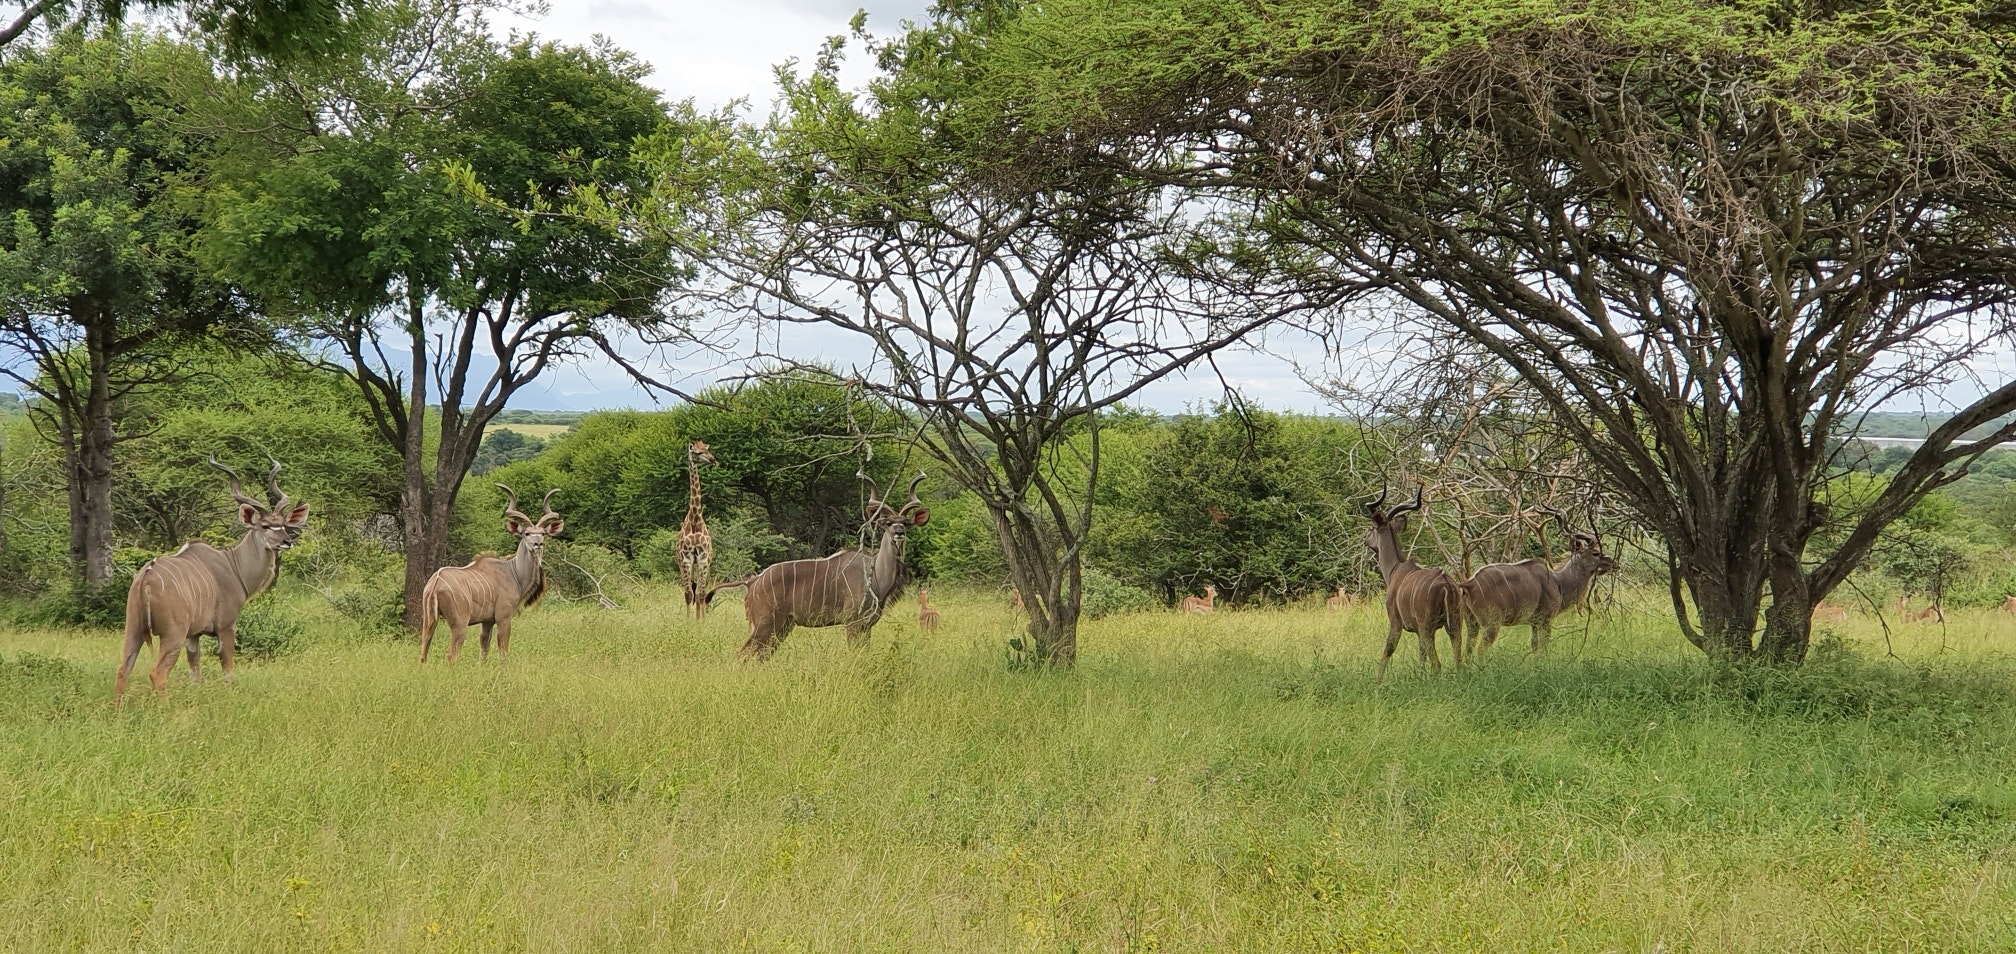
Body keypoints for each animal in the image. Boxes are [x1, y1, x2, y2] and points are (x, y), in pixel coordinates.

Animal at [116, 456, 309, 699]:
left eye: (283, 524)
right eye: (265, 526)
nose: (287, 541)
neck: (233, 564)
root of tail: (146, 579)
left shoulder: (193, 636)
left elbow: (195, 672)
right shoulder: (226, 627)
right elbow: (227, 670)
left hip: (133, 629)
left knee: (123, 669)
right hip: (172, 635)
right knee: (157, 673)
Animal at [418, 486, 562, 663]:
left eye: (542, 533)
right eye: (527, 533)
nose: (538, 544)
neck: (513, 571)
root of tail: (435, 584)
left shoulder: (487, 622)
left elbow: (484, 650)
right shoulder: (503, 618)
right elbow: (503, 651)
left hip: (429, 621)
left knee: (423, 652)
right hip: (460, 624)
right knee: (451, 655)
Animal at [710, 473, 929, 660]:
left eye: (906, 523)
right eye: (888, 523)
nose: (899, 532)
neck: (874, 576)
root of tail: (752, 582)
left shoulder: (867, 625)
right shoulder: (853, 622)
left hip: (782, 626)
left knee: (761, 655)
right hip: (766, 624)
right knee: (743, 655)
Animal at [1363, 486, 1465, 679]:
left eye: (1372, 528)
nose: (1364, 538)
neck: (1394, 569)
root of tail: (1446, 584)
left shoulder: (1396, 622)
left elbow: (1388, 649)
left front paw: (1377, 680)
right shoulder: (1418, 631)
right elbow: (1421, 654)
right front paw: (1420, 678)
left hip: (1428, 627)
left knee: (1437, 664)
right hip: (1454, 624)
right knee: (1458, 659)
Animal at [1456, 516, 1621, 657]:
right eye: (1595, 553)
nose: (1615, 564)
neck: (1558, 582)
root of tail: (1469, 584)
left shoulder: (1534, 622)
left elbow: (1534, 646)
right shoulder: (1545, 619)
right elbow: (1544, 647)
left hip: (1472, 623)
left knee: (1467, 651)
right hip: (1491, 624)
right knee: (1480, 650)